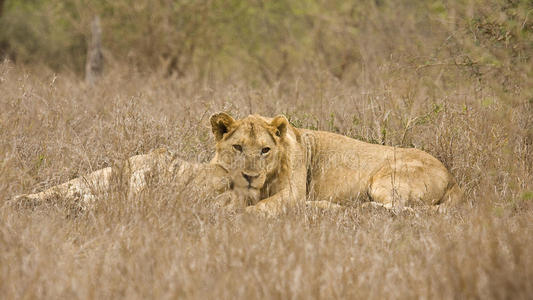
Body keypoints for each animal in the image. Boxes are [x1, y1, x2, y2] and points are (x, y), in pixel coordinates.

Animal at [208, 111, 462, 214]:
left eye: (265, 150)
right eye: (238, 147)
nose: (250, 177)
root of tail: (452, 178)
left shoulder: (293, 192)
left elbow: (263, 205)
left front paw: (246, 213)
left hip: (383, 180)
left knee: (398, 208)